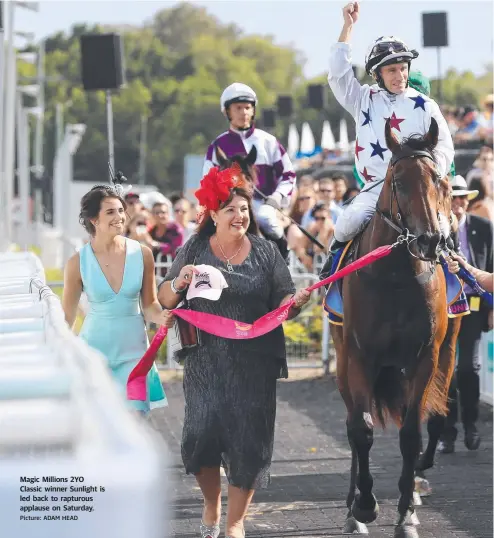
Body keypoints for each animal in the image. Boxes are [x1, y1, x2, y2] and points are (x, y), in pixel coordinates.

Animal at [332, 118, 464, 536]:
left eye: (439, 180)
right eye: (399, 182)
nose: (430, 240)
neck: (396, 276)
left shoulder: (424, 357)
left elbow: (410, 434)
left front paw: (405, 515)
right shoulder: (360, 356)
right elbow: (361, 429)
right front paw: (364, 506)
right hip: (342, 358)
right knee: (351, 421)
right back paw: (351, 506)